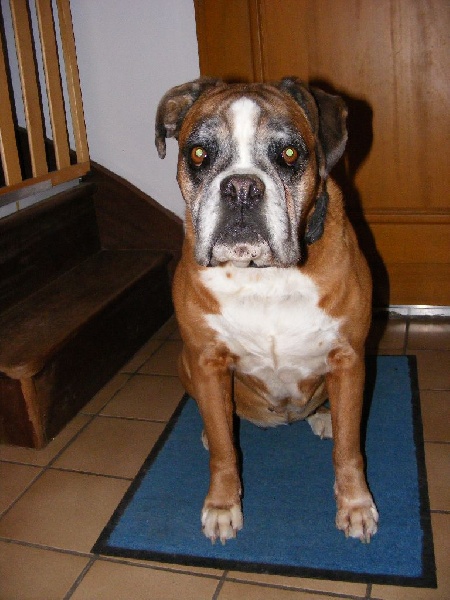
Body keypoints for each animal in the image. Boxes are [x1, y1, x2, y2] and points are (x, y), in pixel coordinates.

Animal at [155, 77, 378, 545]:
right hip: (185, 363)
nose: (241, 188)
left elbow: (349, 449)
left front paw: (355, 505)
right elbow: (225, 452)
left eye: (290, 154)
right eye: (198, 154)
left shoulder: (349, 358)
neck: (264, 276)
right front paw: (223, 506)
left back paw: (325, 418)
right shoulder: (207, 361)